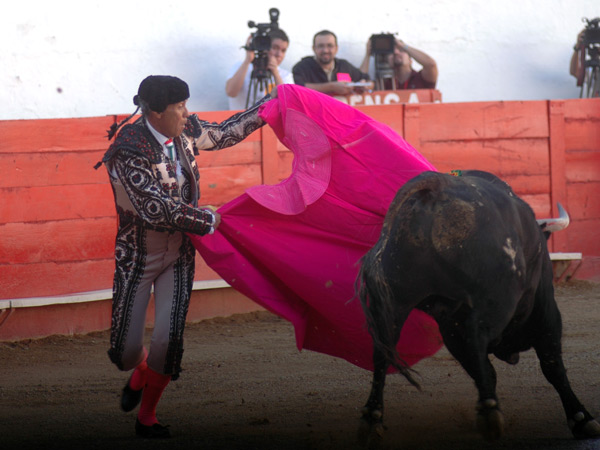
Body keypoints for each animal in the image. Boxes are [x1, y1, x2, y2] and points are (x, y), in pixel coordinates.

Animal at [358, 171, 596, 442]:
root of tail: (434, 190)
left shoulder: (449, 326)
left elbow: (483, 367)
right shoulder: (546, 309)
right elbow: (553, 365)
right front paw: (582, 419)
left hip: (395, 303)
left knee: (382, 352)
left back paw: (372, 418)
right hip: (497, 301)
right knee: (477, 336)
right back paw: (490, 413)